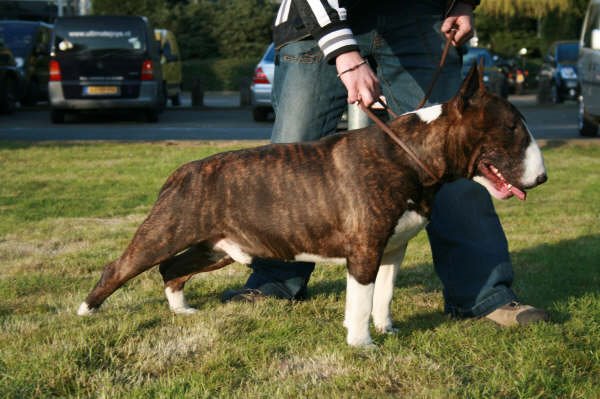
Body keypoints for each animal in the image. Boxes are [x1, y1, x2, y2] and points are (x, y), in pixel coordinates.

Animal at [77, 65, 548, 346]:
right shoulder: (364, 251)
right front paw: (362, 345)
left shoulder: (393, 250)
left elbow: (384, 296)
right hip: (164, 232)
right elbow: (360, 300)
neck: (410, 154)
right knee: (120, 267)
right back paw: (86, 311)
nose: (543, 177)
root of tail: (182, 171)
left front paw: (388, 330)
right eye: (511, 128)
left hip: (216, 247)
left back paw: (181, 309)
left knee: (172, 268)